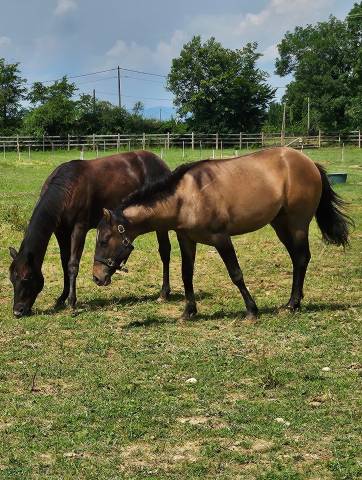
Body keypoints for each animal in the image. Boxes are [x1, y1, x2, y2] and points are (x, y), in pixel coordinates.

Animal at [8, 150, 173, 316]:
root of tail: (160, 163)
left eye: (27, 277)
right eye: (12, 279)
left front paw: (72, 302)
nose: (18, 311)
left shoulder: (79, 228)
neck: (67, 189)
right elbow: (64, 262)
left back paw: (164, 293)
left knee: (165, 251)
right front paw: (62, 297)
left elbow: (73, 264)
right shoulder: (61, 232)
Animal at [92, 146, 352, 318]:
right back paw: (293, 302)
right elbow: (187, 274)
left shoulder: (221, 239)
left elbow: (235, 273)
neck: (187, 197)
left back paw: (293, 304)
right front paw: (189, 311)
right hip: (280, 225)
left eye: (104, 240)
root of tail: (308, 162)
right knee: (297, 259)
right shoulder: (187, 240)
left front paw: (251, 310)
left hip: (297, 224)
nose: (97, 277)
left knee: (301, 258)